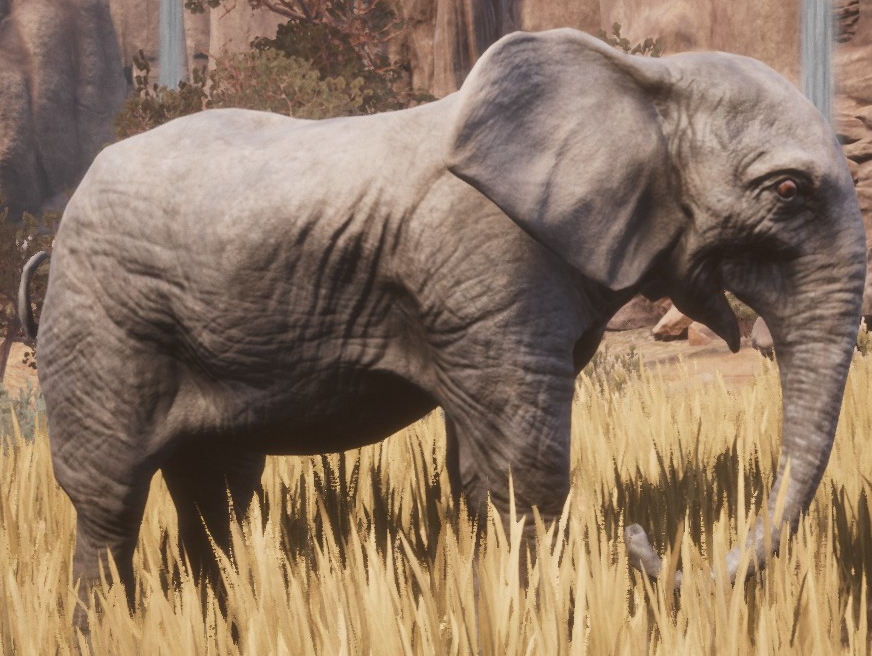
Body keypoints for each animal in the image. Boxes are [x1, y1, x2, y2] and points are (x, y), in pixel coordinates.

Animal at [18, 28, 865, 614]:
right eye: (787, 191)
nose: (641, 541)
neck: (637, 77)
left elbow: (483, 467)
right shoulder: (489, 260)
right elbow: (524, 469)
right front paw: (541, 615)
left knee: (216, 492)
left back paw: (221, 614)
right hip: (101, 317)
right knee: (110, 499)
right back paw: (105, 626)